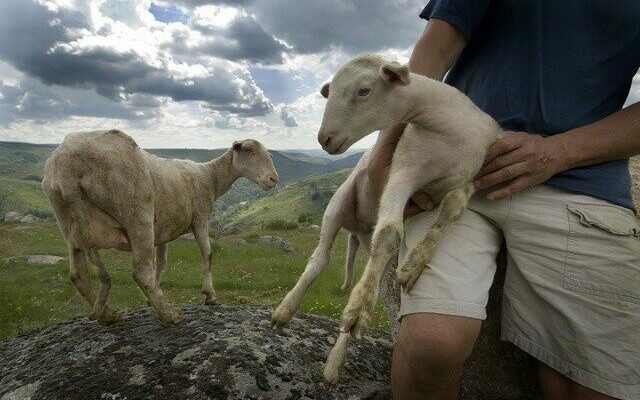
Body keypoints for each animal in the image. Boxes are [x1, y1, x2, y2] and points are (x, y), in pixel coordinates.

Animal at [42, 131, 278, 324]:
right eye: (248, 149)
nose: (273, 179)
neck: (209, 176)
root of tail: (68, 165)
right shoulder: (199, 218)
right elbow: (207, 254)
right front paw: (210, 295)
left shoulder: (164, 229)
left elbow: (162, 262)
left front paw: (151, 299)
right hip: (138, 215)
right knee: (140, 271)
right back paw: (170, 315)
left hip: (68, 223)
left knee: (77, 274)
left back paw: (108, 315)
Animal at [318, 54, 502, 382]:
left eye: (363, 91)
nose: (324, 138)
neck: (447, 128)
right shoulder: (404, 169)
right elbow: (389, 233)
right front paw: (360, 308)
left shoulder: (468, 178)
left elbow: (451, 209)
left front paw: (416, 263)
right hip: (341, 203)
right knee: (324, 259)